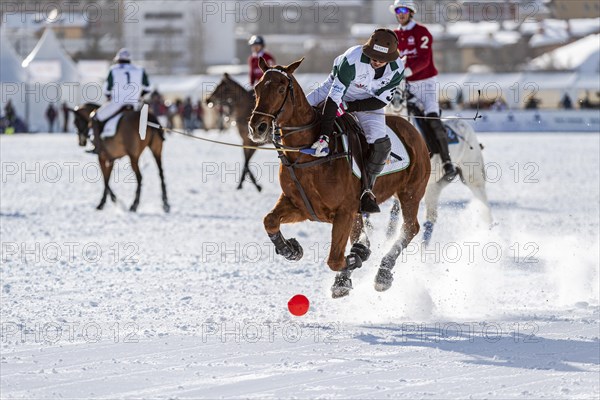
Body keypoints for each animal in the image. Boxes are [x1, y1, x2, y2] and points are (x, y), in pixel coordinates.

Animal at [248, 58, 432, 296]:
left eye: (281, 89)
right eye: (257, 88)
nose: (257, 128)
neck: (306, 152)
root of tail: (411, 128)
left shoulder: (343, 211)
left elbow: (335, 259)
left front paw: (358, 255)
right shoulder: (301, 206)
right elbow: (269, 220)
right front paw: (290, 249)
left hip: (411, 191)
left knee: (410, 228)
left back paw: (382, 273)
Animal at [384, 91, 492, 247]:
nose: (396, 100)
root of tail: (462, 121)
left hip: (473, 176)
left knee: (483, 202)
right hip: (433, 186)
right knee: (430, 217)